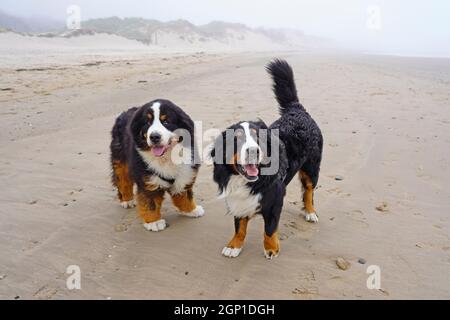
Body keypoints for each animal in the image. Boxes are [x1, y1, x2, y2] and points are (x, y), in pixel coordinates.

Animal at [110, 99, 204, 231]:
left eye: (166, 121)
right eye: (147, 122)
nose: (154, 137)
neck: (166, 158)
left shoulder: (185, 173)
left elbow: (185, 195)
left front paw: (191, 209)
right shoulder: (148, 180)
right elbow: (150, 202)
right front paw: (154, 222)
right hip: (120, 160)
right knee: (123, 180)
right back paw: (127, 200)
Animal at [211, 60, 324, 258]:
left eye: (258, 137)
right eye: (237, 139)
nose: (253, 151)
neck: (247, 181)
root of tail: (297, 109)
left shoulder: (275, 200)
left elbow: (270, 229)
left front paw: (271, 248)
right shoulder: (239, 201)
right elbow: (239, 226)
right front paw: (234, 245)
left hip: (312, 168)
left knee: (309, 191)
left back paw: (310, 212)